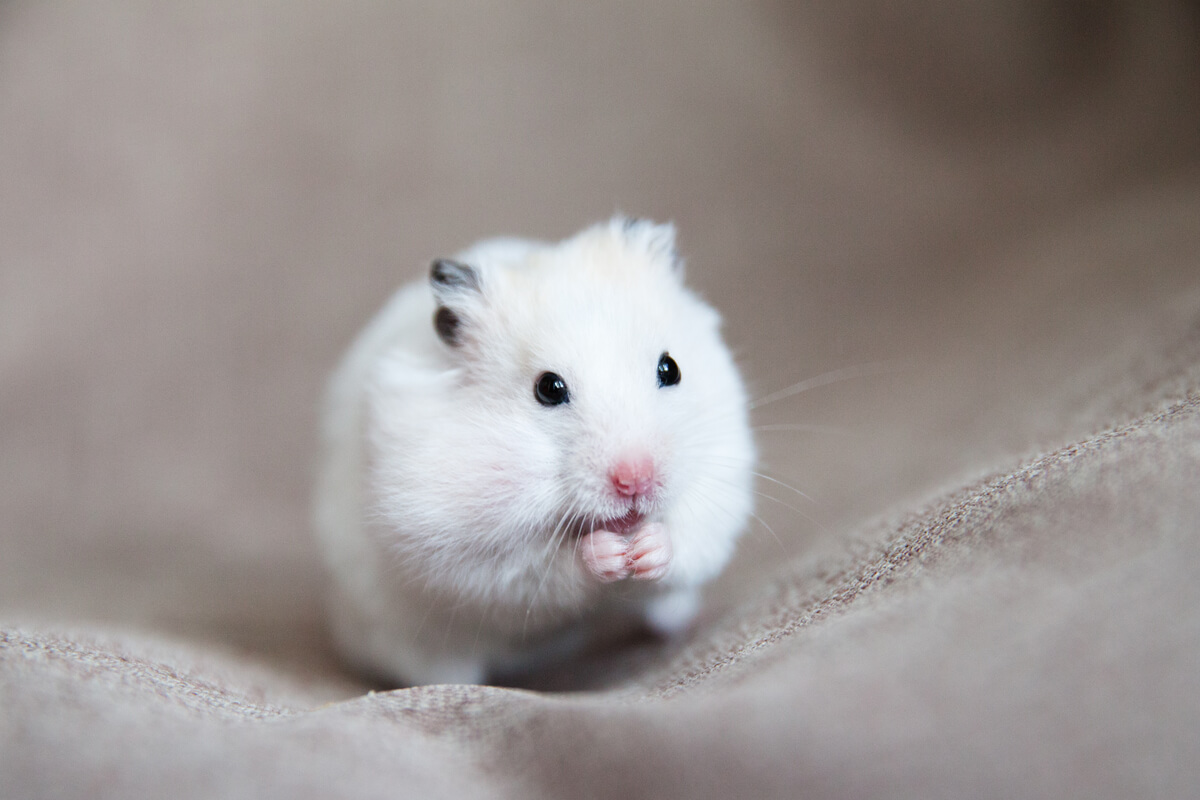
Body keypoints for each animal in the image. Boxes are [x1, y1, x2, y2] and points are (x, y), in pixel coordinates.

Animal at [314, 217, 755, 686]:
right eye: (548, 388)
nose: (635, 481)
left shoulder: (720, 476)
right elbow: (544, 569)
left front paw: (645, 549)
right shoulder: (462, 547)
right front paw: (610, 554)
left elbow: (689, 536)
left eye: (670, 368)